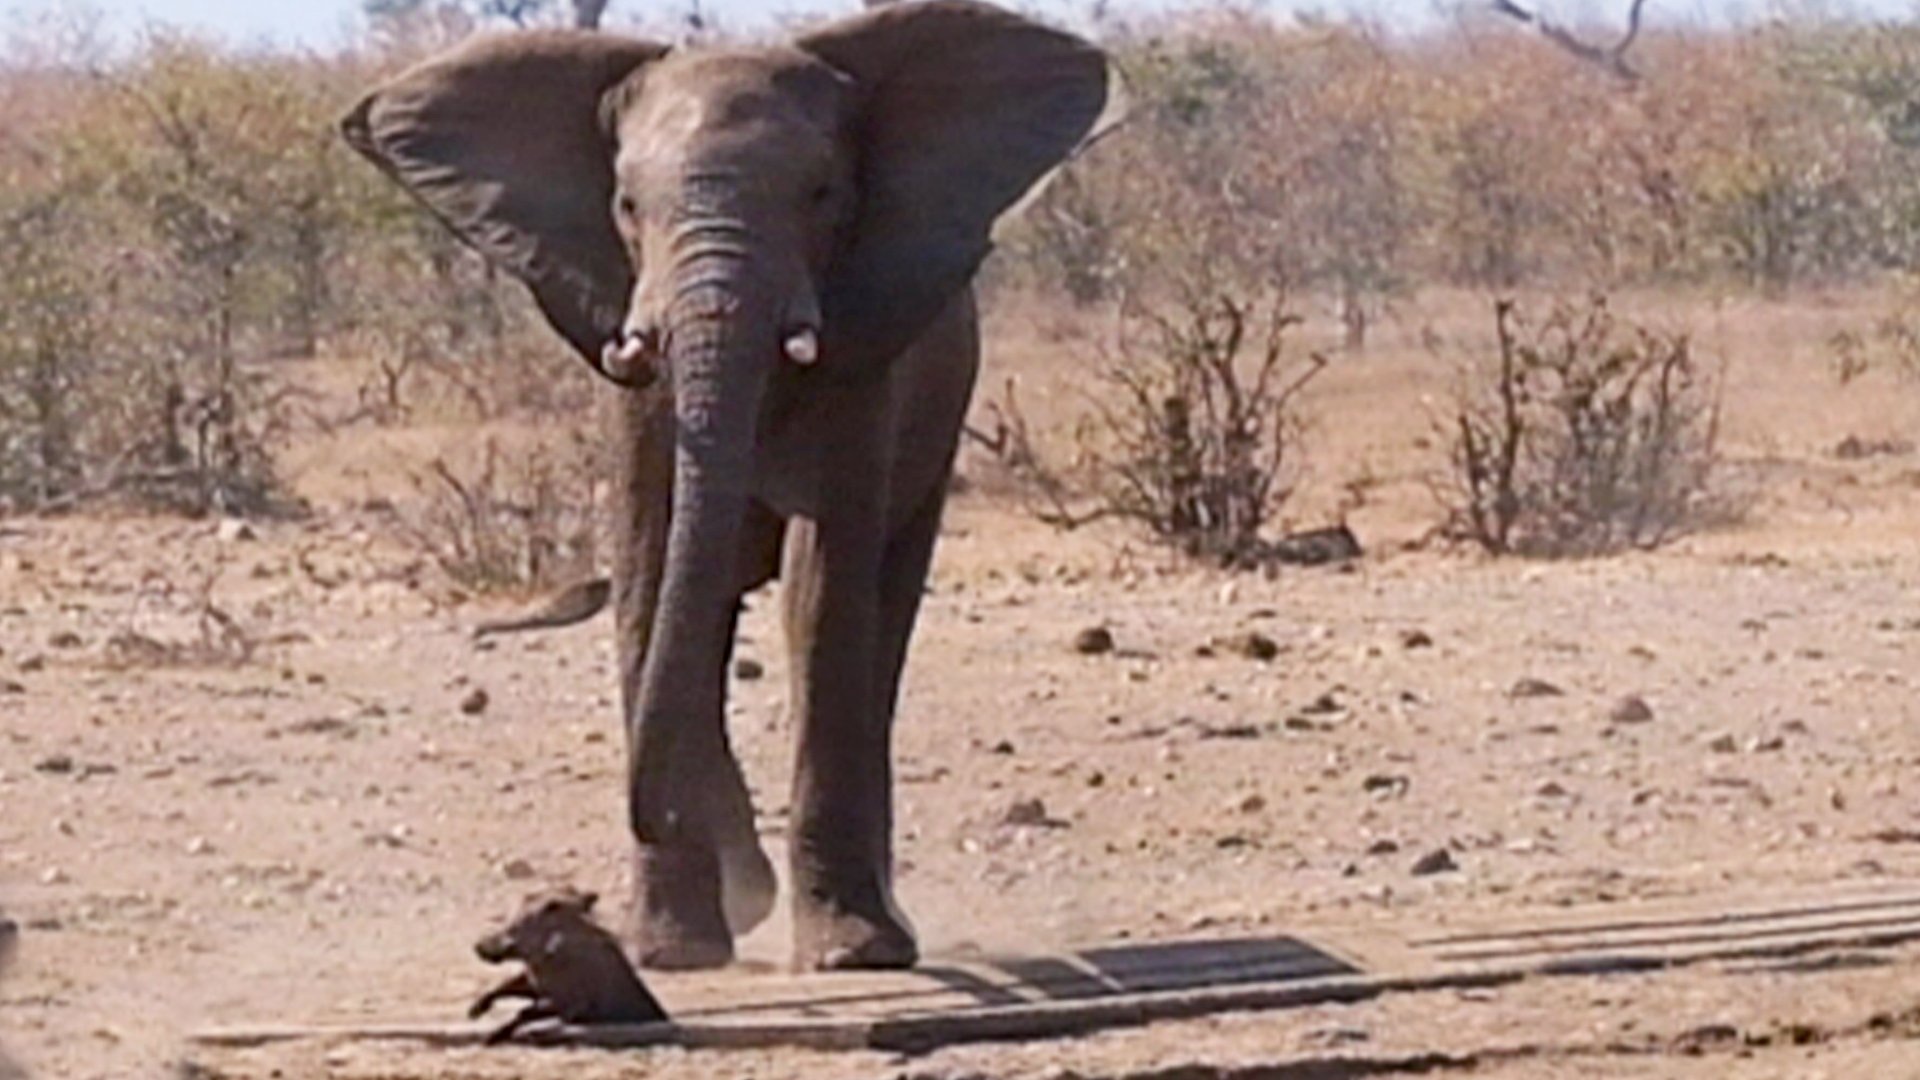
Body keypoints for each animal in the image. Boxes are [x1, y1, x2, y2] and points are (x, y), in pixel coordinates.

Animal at [341, 1, 1112, 971]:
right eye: (627, 206)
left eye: (823, 195)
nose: (562, 909)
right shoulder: (633, 370)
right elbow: (653, 574)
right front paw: (672, 949)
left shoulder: (863, 355)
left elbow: (820, 588)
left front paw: (848, 954)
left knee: (880, 612)